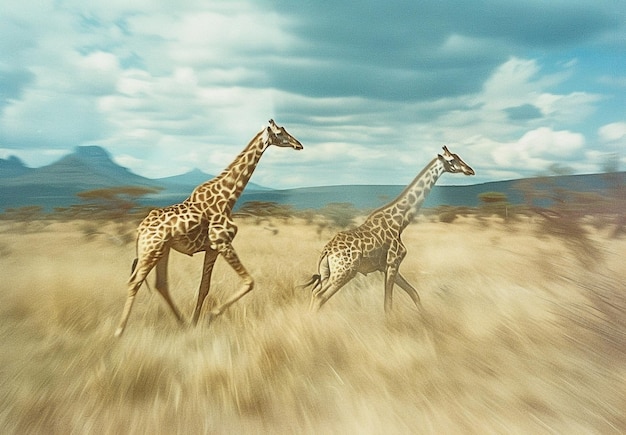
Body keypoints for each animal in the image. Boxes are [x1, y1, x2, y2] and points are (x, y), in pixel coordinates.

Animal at [117, 119, 304, 338]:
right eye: (279, 133)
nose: (299, 144)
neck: (228, 198)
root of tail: (140, 230)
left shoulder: (212, 248)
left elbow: (204, 288)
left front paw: (196, 322)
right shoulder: (222, 242)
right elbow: (249, 282)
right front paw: (210, 316)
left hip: (162, 250)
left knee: (161, 284)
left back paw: (182, 323)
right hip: (151, 250)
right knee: (134, 282)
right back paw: (119, 331)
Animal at [304, 146, 472, 314]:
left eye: (459, 157)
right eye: (452, 160)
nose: (470, 170)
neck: (400, 222)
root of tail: (326, 252)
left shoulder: (388, 267)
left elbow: (414, 293)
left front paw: (425, 316)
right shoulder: (392, 263)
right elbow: (388, 304)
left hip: (328, 273)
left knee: (314, 292)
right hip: (344, 272)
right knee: (320, 296)